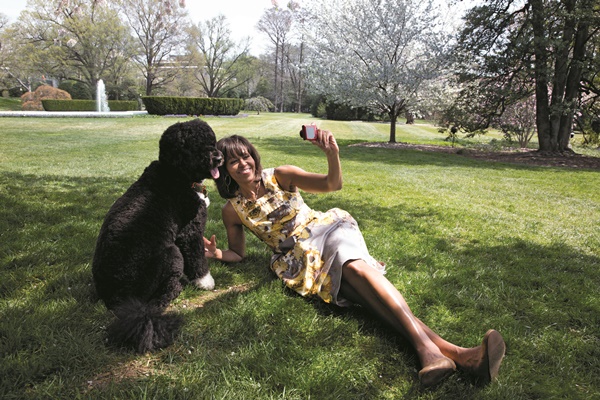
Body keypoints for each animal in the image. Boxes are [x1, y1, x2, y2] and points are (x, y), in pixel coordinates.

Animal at [92, 119, 224, 354]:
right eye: (195, 146)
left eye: (211, 141)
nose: (218, 158)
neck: (177, 174)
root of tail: (117, 296)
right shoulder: (190, 232)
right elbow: (197, 259)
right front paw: (205, 282)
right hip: (171, 255)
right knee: (161, 297)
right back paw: (178, 287)